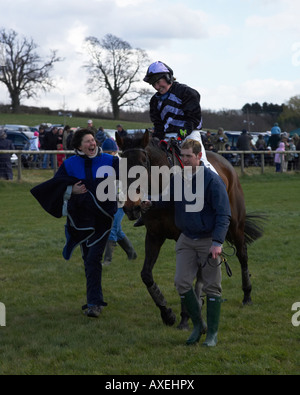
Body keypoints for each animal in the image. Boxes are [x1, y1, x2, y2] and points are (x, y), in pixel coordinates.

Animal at [116, 131, 264, 326]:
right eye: (121, 164)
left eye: (143, 161)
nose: (131, 207)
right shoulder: (154, 235)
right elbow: (146, 275)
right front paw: (167, 313)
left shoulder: (185, 235)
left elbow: (186, 275)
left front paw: (185, 317)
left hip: (235, 224)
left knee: (242, 254)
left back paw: (246, 295)